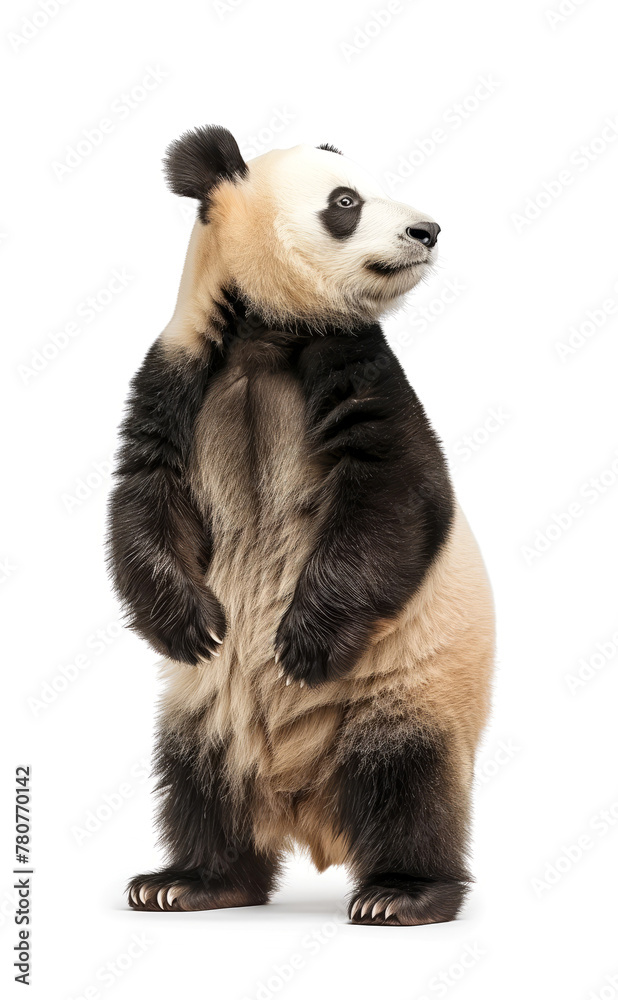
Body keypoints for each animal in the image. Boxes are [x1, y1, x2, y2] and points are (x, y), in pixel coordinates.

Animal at [108, 125, 495, 926]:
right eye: (346, 202)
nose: (427, 230)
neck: (266, 330)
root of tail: (301, 802)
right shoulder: (177, 371)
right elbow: (144, 497)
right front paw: (189, 624)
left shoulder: (359, 364)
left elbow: (399, 494)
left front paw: (302, 643)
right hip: (203, 709)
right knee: (196, 782)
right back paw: (188, 881)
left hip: (407, 686)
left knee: (410, 780)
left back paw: (402, 893)